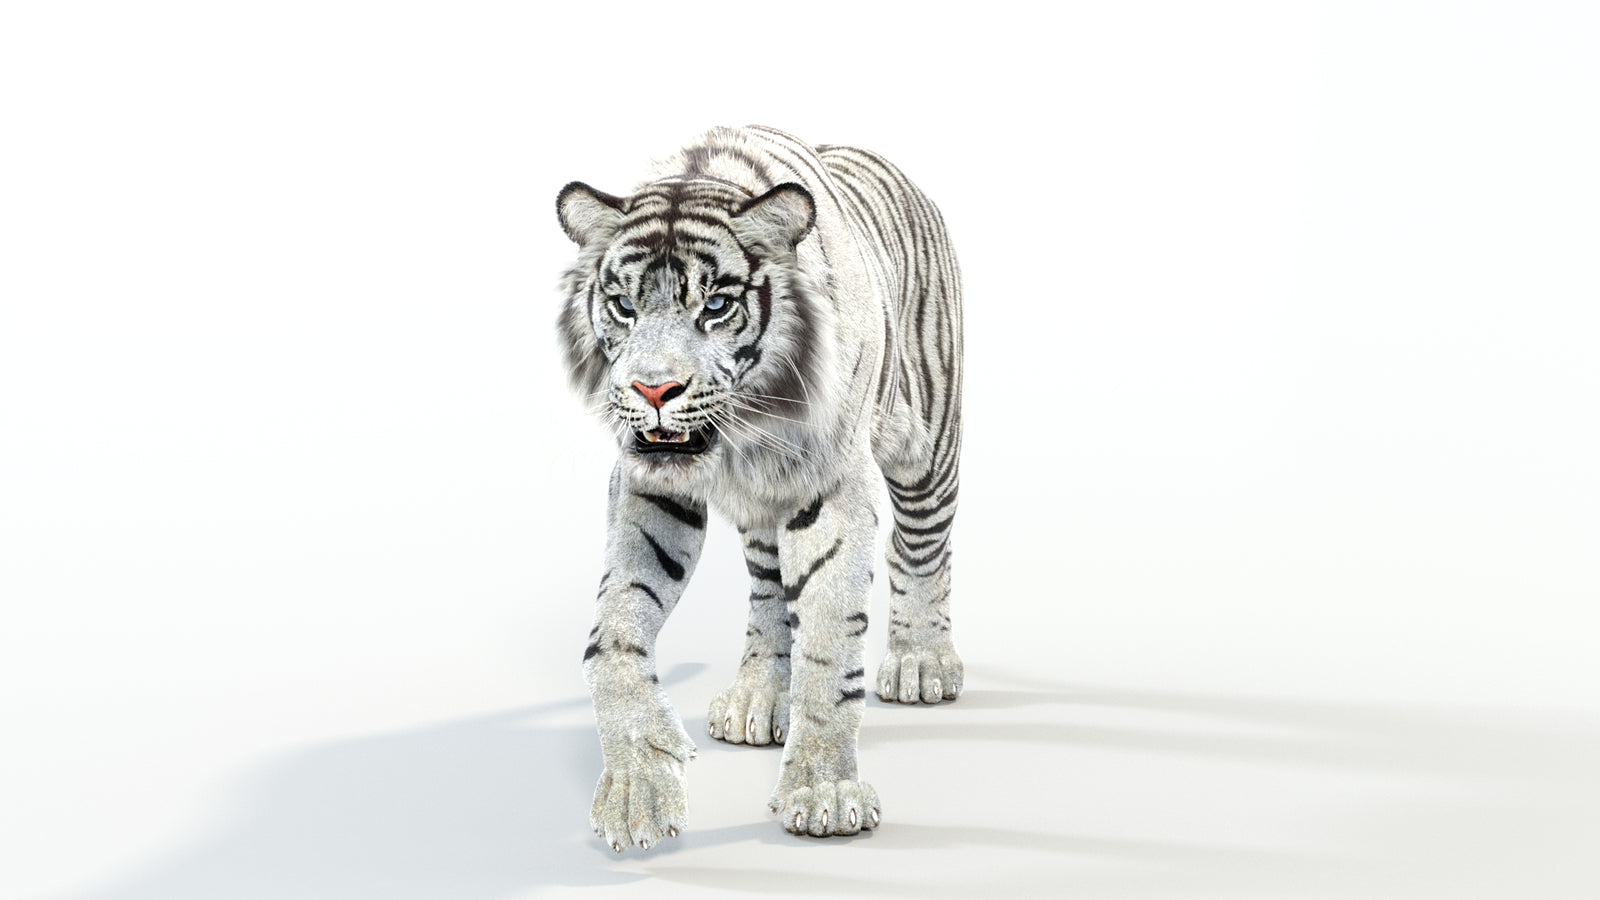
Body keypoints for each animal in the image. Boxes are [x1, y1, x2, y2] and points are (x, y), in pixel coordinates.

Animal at [556, 125, 963, 851]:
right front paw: (637, 791)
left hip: (927, 441)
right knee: (771, 593)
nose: (654, 390)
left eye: (716, 307)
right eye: (624, 306)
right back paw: (760, 698)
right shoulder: (649, 484)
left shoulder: (834, 483)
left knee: (923, 547)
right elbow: (614, 633)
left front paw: (825, 792)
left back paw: (922, 663)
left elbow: (830, 640)